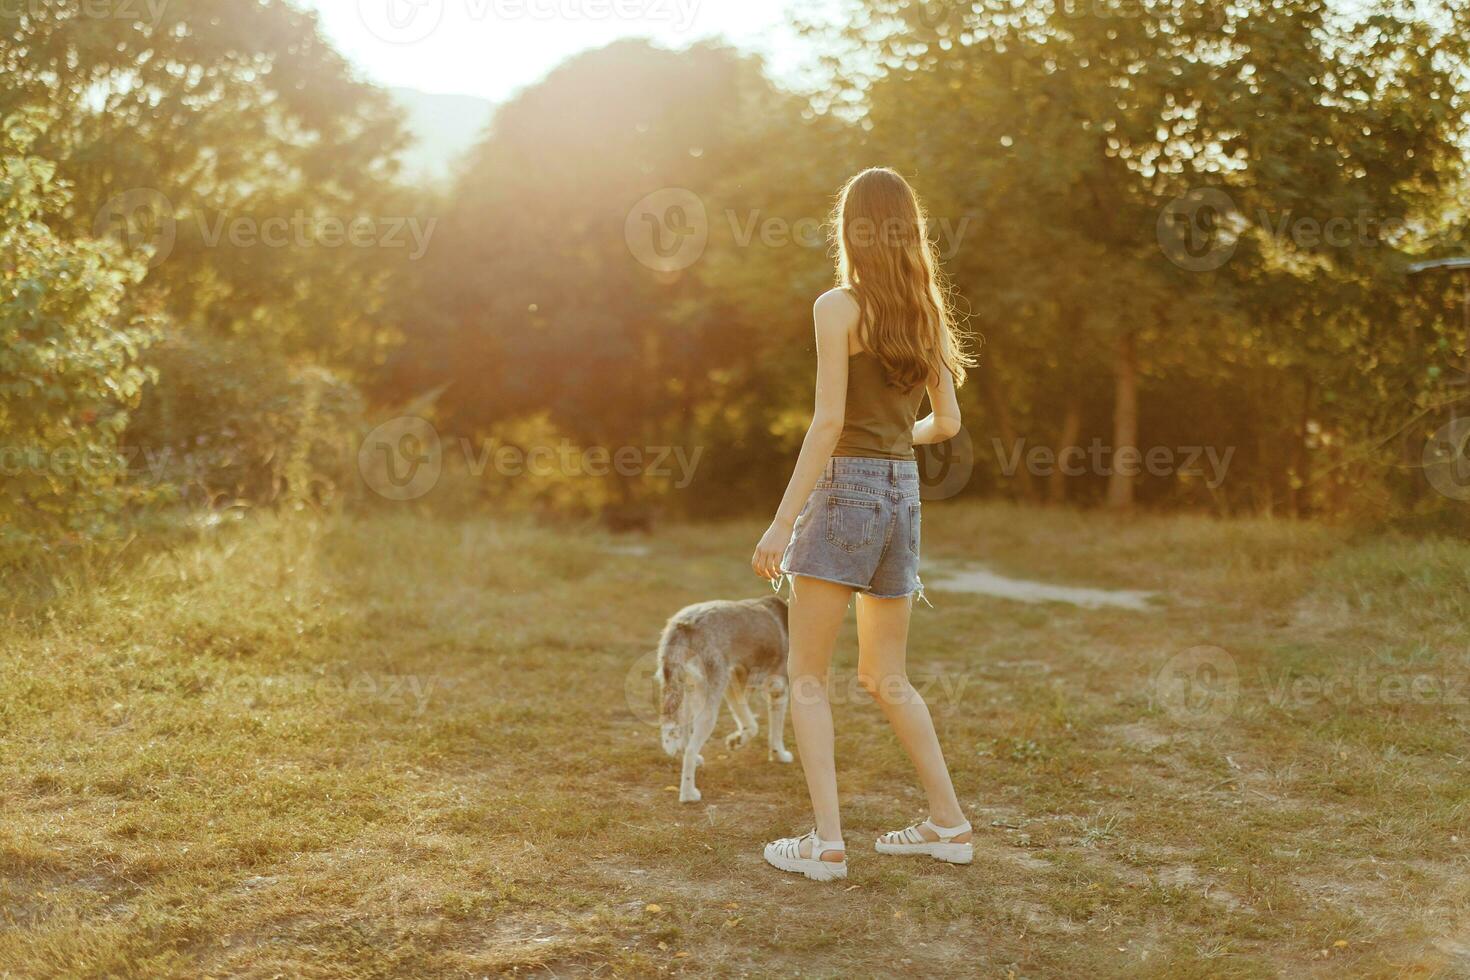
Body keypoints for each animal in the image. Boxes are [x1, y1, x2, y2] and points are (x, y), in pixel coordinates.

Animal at [655, 593, 793, 799]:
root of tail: (686, 623)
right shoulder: (777, 688)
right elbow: (773, 733)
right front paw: (780, 756)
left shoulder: (735, 687)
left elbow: (749, 723)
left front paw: (737, 740)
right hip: (707, 708)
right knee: (689, 750)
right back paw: (689, 795)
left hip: (685, 693)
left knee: (684, 738)